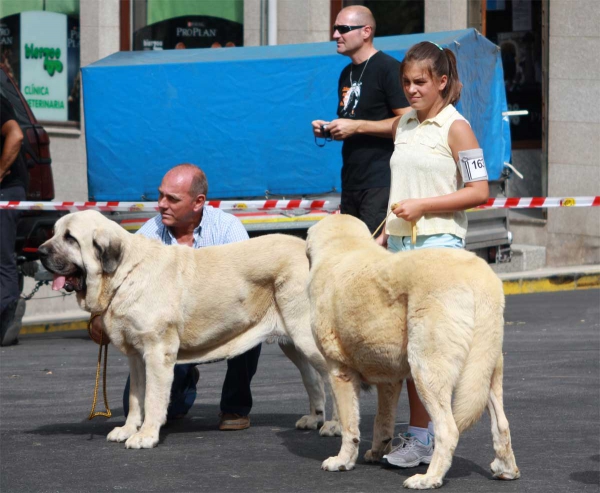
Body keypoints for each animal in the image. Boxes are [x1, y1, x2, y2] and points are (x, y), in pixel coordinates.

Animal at [37, 209, 340, 448]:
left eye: (70, 238)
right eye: (54, 233)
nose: (38, 252)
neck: (125, 273)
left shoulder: (157, 352)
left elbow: (153, 398)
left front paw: (146, 436)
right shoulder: (137, 357)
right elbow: (136, 398)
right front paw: (127, 429)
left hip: (305, 336)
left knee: (331, 377)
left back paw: (335, 425)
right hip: (294, 342)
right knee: (313, 378)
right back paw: (314, 418)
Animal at [308, 214, 516, 488]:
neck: (344, 245)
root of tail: (480, 280)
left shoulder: (339, 371)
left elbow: (349, 425)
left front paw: (342, 461)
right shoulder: (389, 378)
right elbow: (382, 420)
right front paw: (377, 452)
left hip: (426, 369)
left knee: (448, 429)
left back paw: (429, 478)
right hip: (485, 370)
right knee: (501, 423)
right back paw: (506, 469)